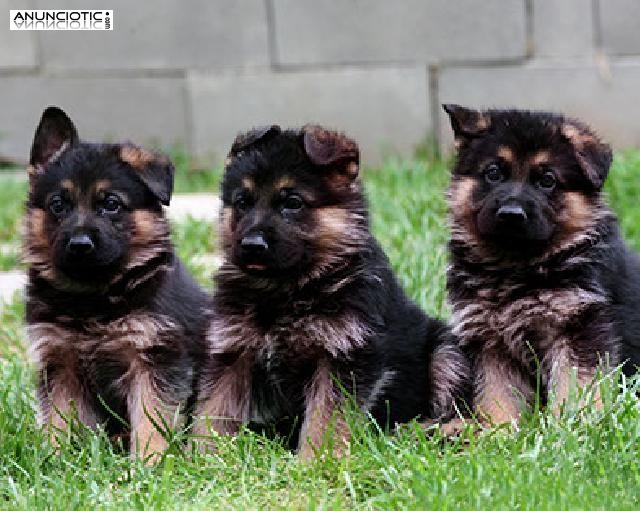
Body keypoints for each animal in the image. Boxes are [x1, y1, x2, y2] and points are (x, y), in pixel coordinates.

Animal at [24, 105, 210, 464]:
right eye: (58, 205)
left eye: (111, 204)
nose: (80, 244)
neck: (93, 298)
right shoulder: (60, 363)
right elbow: (59, 418)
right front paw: (56, 460)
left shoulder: (155, 359)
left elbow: (152, 417)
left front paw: (149, 462)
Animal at [192, 126, 468, 458]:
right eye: (243, 201)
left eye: (292, 202)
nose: (252, 245)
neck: (285, 289)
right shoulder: (233, 351)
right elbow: (214, 408)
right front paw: (202, 456)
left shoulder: (341, 356)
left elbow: (326, 418)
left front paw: (315, 460)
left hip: (446, 352)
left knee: (456, 408)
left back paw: (427, 431)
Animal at [442, 105, 640, 428]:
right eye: (493, 173)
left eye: (547, 180)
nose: (511, 214)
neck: (516, 267)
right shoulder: (489, 341)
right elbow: (497, 394)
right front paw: (499, 430)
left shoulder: (577, 327)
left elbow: (575, 384)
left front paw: (571, 425)